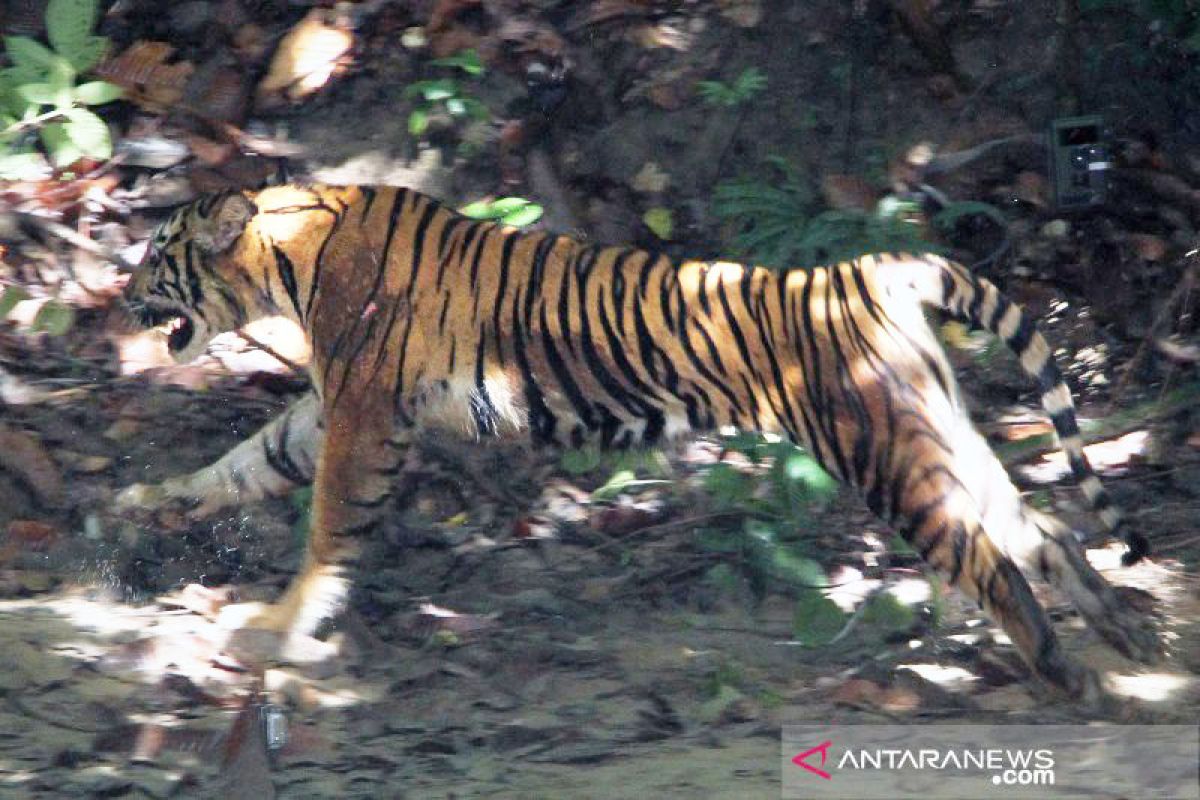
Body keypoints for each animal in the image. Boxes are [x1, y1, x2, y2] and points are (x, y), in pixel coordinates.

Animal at [117, 183, 1156, 700]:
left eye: (156, 256)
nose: (121, 300)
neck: (288, 254)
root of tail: (865, 269)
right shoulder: (335, 405)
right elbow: (247, 463)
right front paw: (144, 505)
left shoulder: (366, 412)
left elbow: (329, 522)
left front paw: (280, 629)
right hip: (936, 432)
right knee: (1041, 528)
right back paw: (1122, 630)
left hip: (885, 456)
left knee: (993, 558)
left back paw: (1065, 673)